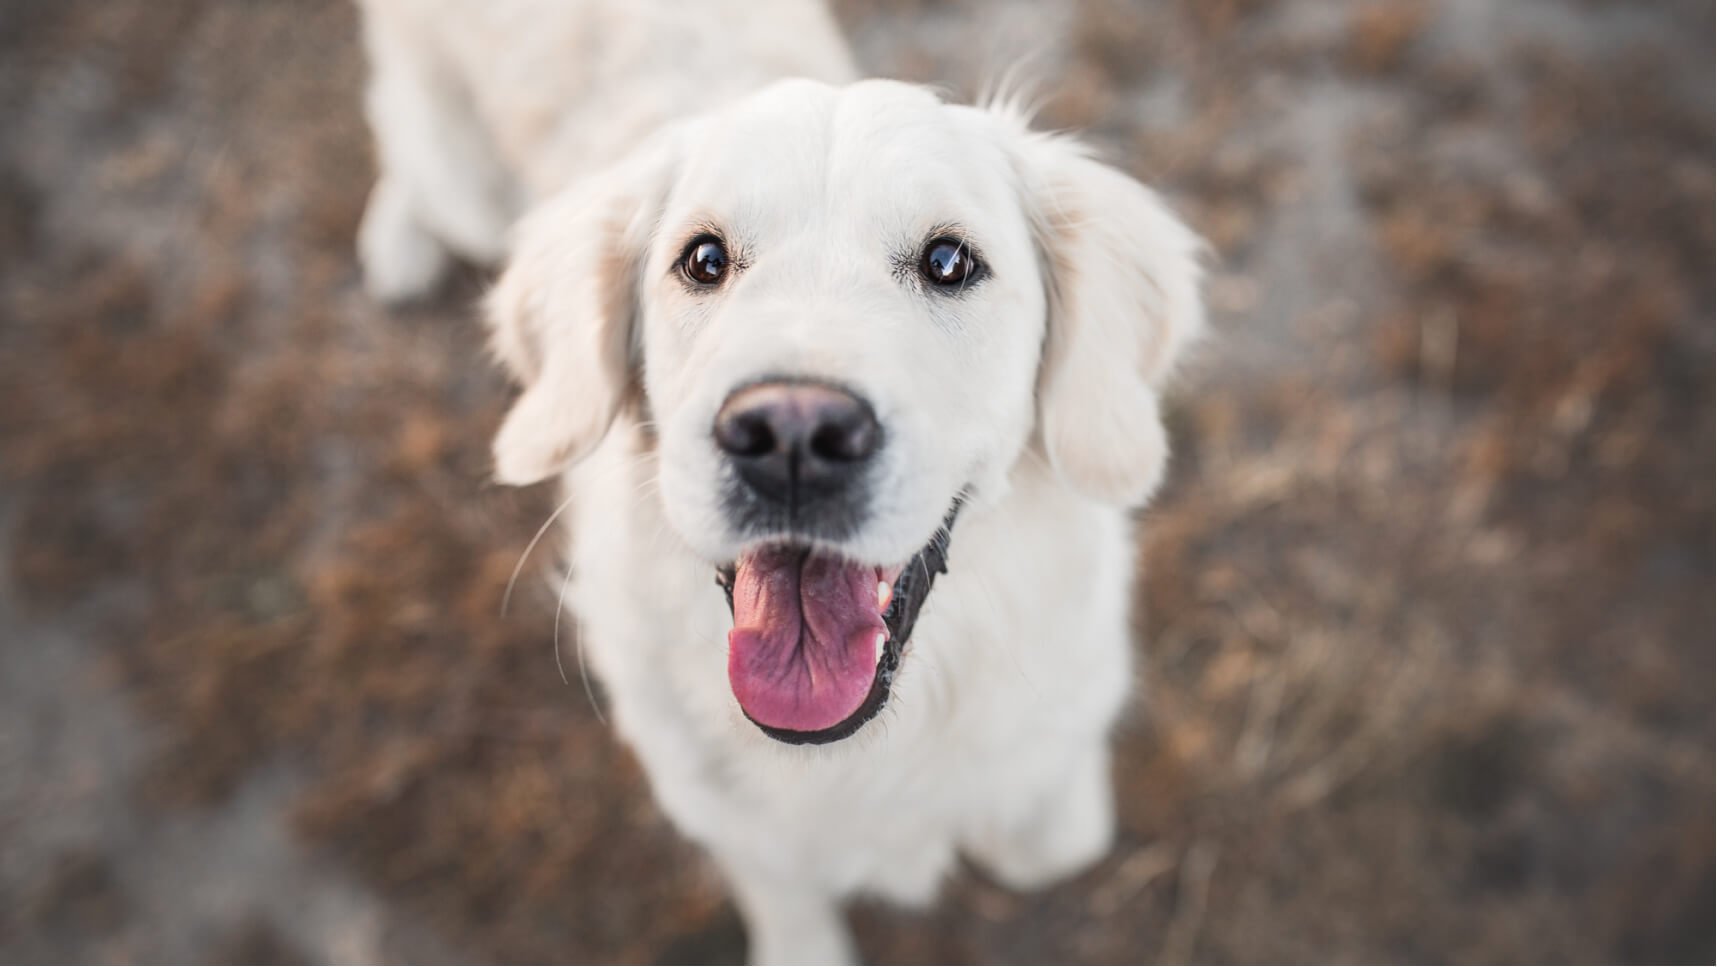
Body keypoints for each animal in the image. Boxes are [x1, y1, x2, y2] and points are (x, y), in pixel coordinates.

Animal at [355, 3, 1201, 961]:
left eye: (949, 261)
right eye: (703, 259)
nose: (792, 435)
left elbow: (1052, 834)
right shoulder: (719, 807)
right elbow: (783, 889)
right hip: (456, 174)